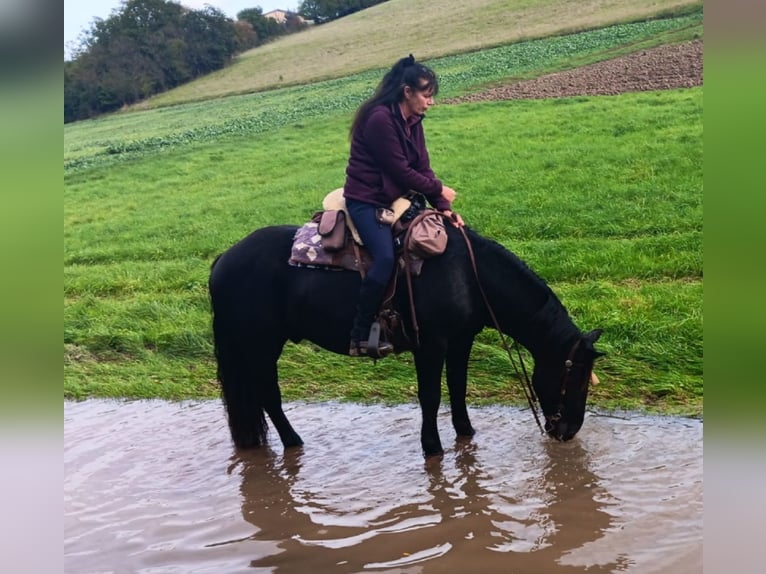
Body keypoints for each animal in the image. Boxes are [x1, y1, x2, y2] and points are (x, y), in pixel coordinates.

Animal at [210, 223, 608, 456]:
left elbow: (458, 387)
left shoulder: (461, 341)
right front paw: (432, 448)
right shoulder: (430, 345)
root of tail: (223, 259)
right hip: (261, 345)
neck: (468, 276)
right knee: (269, 395)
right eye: (572, 377)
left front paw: (466, 433)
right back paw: (294, 443)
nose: (568, 431)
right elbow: (431, 396)